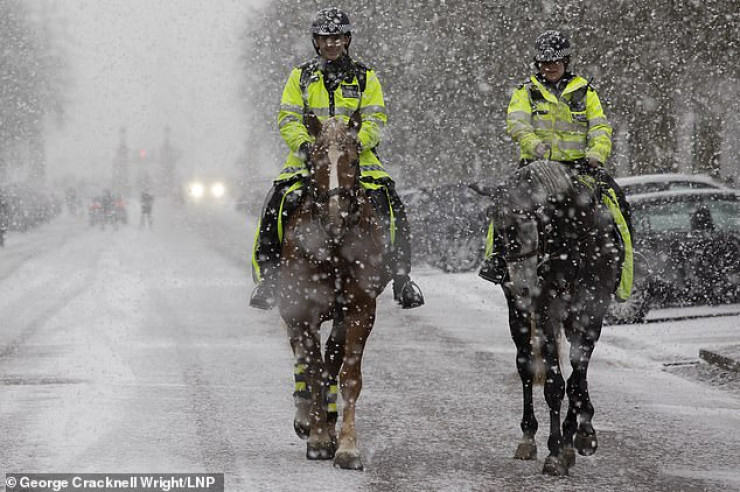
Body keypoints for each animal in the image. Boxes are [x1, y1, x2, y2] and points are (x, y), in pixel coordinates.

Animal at [278, 110, 391, 470]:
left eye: (353, 161)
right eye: (314, 160)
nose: (335, 217)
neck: (334, 246)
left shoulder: (360, 310)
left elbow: (347, 375)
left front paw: (347, 447)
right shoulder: (305, 310)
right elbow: (313, 370)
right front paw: (317, 439)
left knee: (331, 359)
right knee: (302, 357)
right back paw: (307, 419)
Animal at [484, 160, 620, 476]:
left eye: (532, 226)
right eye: (499, 232)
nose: (522, 286)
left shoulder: (592, 313)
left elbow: (576, 378)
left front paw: (578, 436)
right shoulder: (546, 312)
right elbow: (555, 384)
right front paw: (556, 450)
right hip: (521, 317)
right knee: (525, 365)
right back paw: (528, 437)